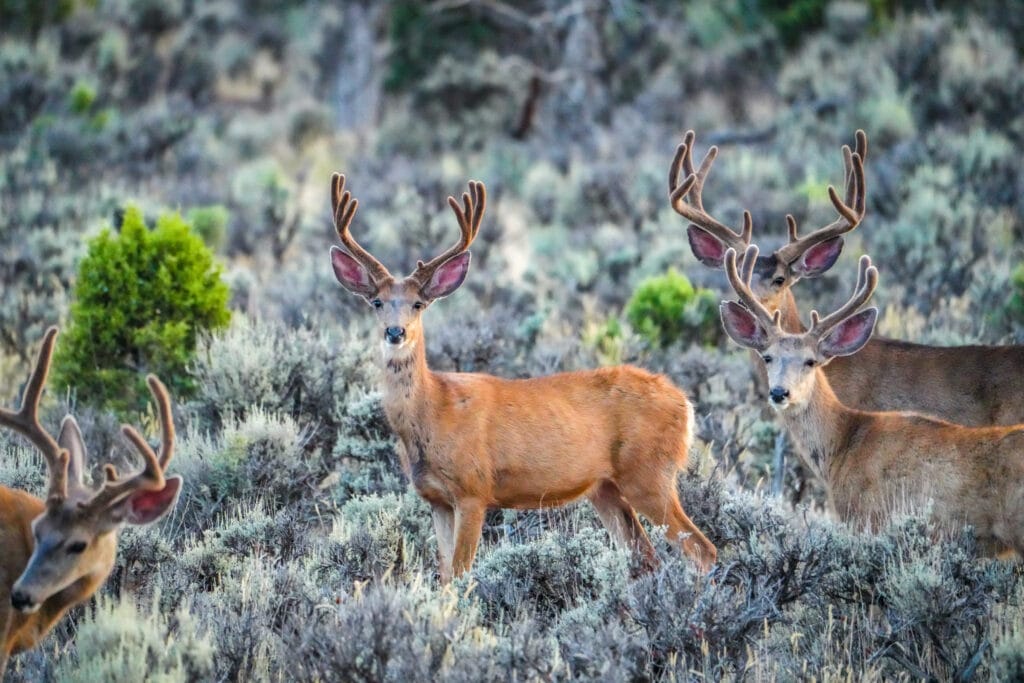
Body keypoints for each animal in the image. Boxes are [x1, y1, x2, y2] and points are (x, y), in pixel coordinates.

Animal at [327, 174, 717, 582]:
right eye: (377, 302)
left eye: (418, 304)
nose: (395, 332)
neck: (432, 411)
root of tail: (684, 404)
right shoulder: (435, 499)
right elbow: (445, 575)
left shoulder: (473, 490)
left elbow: (461, 573)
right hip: (606, 487)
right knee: (646, 556)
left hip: (649, 473)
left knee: (703, 550)